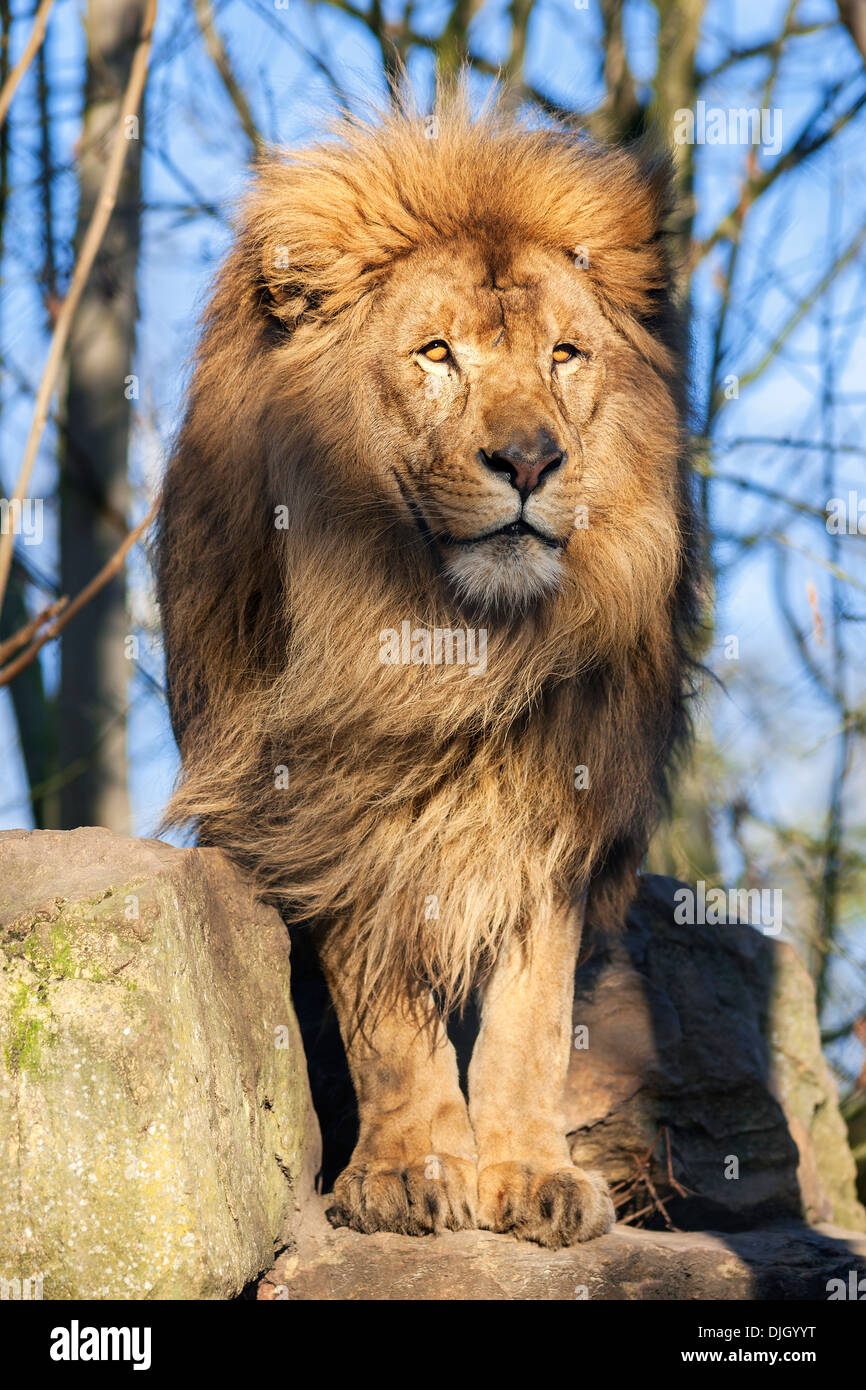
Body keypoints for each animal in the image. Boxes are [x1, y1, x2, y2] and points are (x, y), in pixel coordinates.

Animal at [155, 92, 700, 1249]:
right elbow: (391, 1023)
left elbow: (531, 1019)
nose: (530, 460)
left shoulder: (555, 808)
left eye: (565, 354)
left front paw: (531, 1173)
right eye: (437, 353)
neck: (451, 643)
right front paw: (410, 1172)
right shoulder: (332, 805)